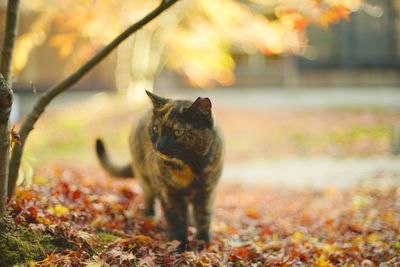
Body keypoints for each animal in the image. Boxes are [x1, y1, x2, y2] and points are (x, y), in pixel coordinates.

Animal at [95, 91, 223, 247]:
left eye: (178, 132)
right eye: (155, 129)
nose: (159, 146)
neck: (189, 168)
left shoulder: (207, 193)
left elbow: (203, 218)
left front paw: (204, 242)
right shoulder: (168, 193)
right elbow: (176, 219)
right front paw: (180, 244)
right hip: (146, 180)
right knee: (150, 199)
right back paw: (150, 216)